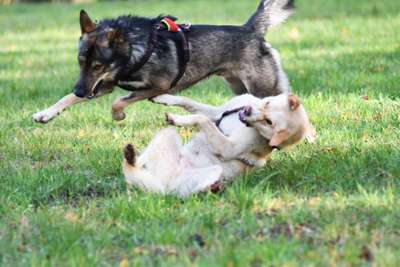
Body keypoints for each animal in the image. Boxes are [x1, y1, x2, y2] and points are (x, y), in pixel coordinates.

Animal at [33, 0, 294, 123]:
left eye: (98, 66)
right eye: (80, 62)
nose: (81, 92)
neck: (134, 51)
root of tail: (251, 30)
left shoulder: (157, 87)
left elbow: (118, 102)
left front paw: (118, 116)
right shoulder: (103, 85)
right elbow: (66, 98)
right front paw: (46, 114)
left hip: (261, 88)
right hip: (239, 87)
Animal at [122, 93, 316, 198]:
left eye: (269, 122)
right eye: (267, 103)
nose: (246, 111)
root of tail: (166, 179)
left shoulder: (228, 146)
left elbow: (201, 119)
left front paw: (178, 119)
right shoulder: (218, 111)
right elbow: (189, 103)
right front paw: (163, 97)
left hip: (210, 173)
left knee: (175, 193)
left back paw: (212, 189)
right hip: (166, 136)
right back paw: (131, 157)